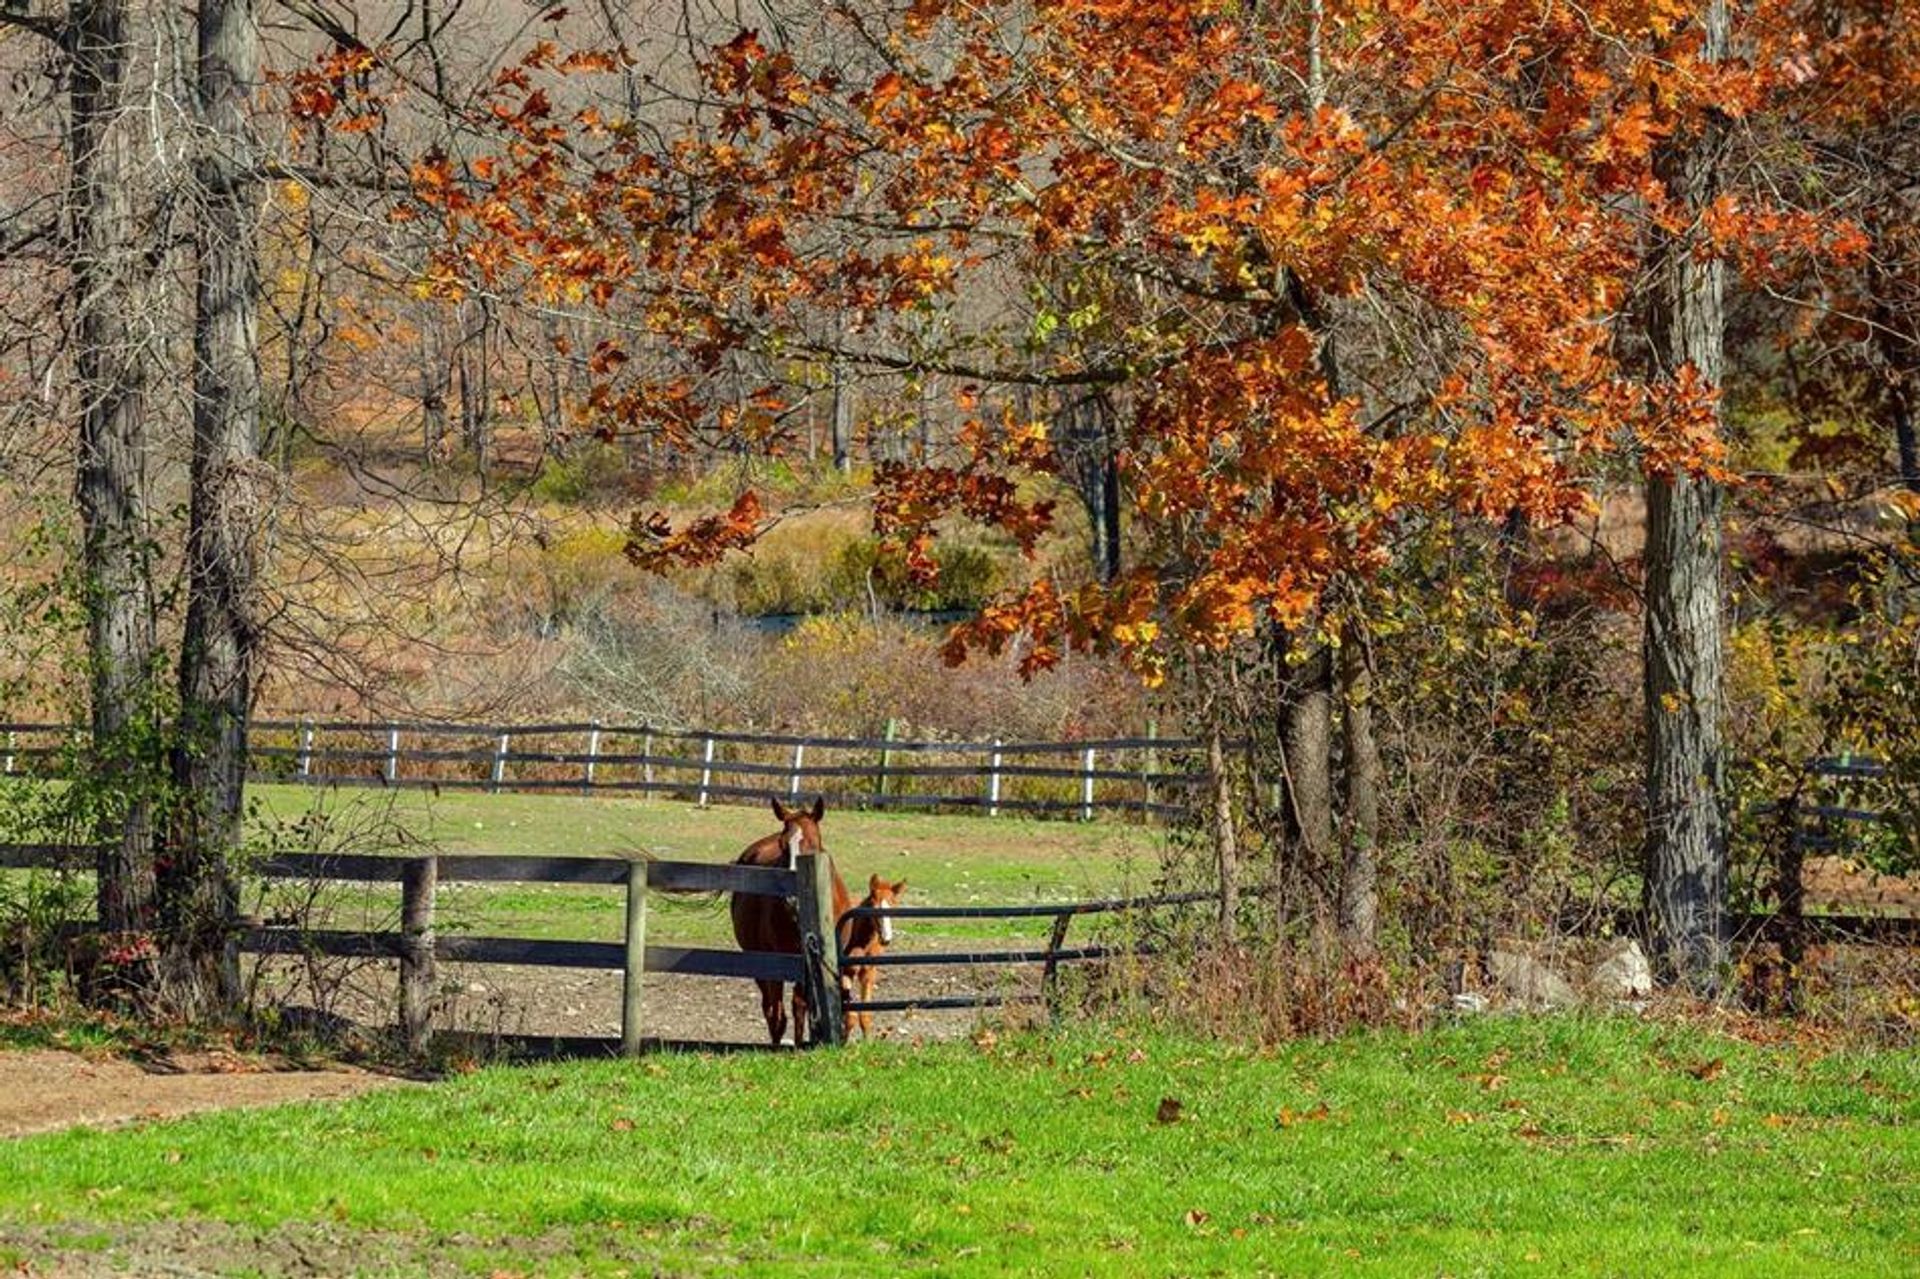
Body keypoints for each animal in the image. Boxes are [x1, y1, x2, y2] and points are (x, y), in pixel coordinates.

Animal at [729, 798, 852, 1044]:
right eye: (783, 846)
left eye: (814, 843)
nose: (793, 898)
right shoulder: (778, 961)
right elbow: (779, 1012)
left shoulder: (810, 961)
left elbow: (801, 1004)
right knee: (771, 1008)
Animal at [840, 871, 906, 1044]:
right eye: (874, 907)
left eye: (893, 906)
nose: (886, 939)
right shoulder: (845, 972)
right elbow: (849, 1013)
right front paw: (843, 1041)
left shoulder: (868, 972)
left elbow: (865, 1013)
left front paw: (867, 1042)